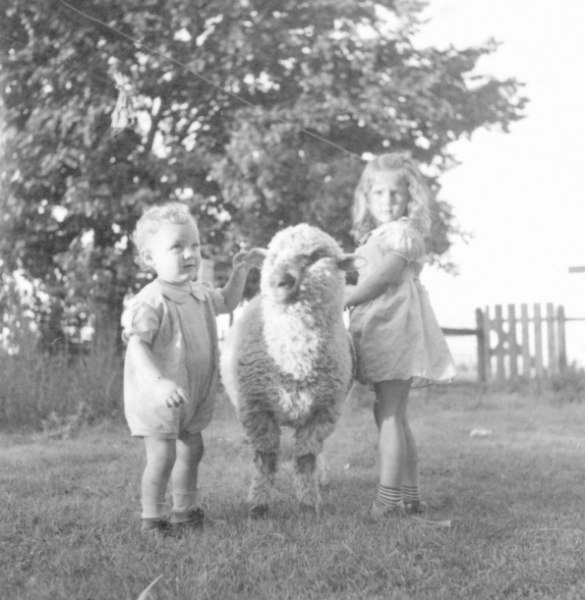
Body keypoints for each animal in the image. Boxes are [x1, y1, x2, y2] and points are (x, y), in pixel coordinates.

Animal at [219, 223, 356, 516]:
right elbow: (266, 459)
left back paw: (320, 480)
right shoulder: (256, 410)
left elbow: (306, 458)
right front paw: (258, 506)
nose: (279, 281)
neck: (295, 362)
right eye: (272, 256)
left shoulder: (322, 412)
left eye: (316, 256)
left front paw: (308, 503)